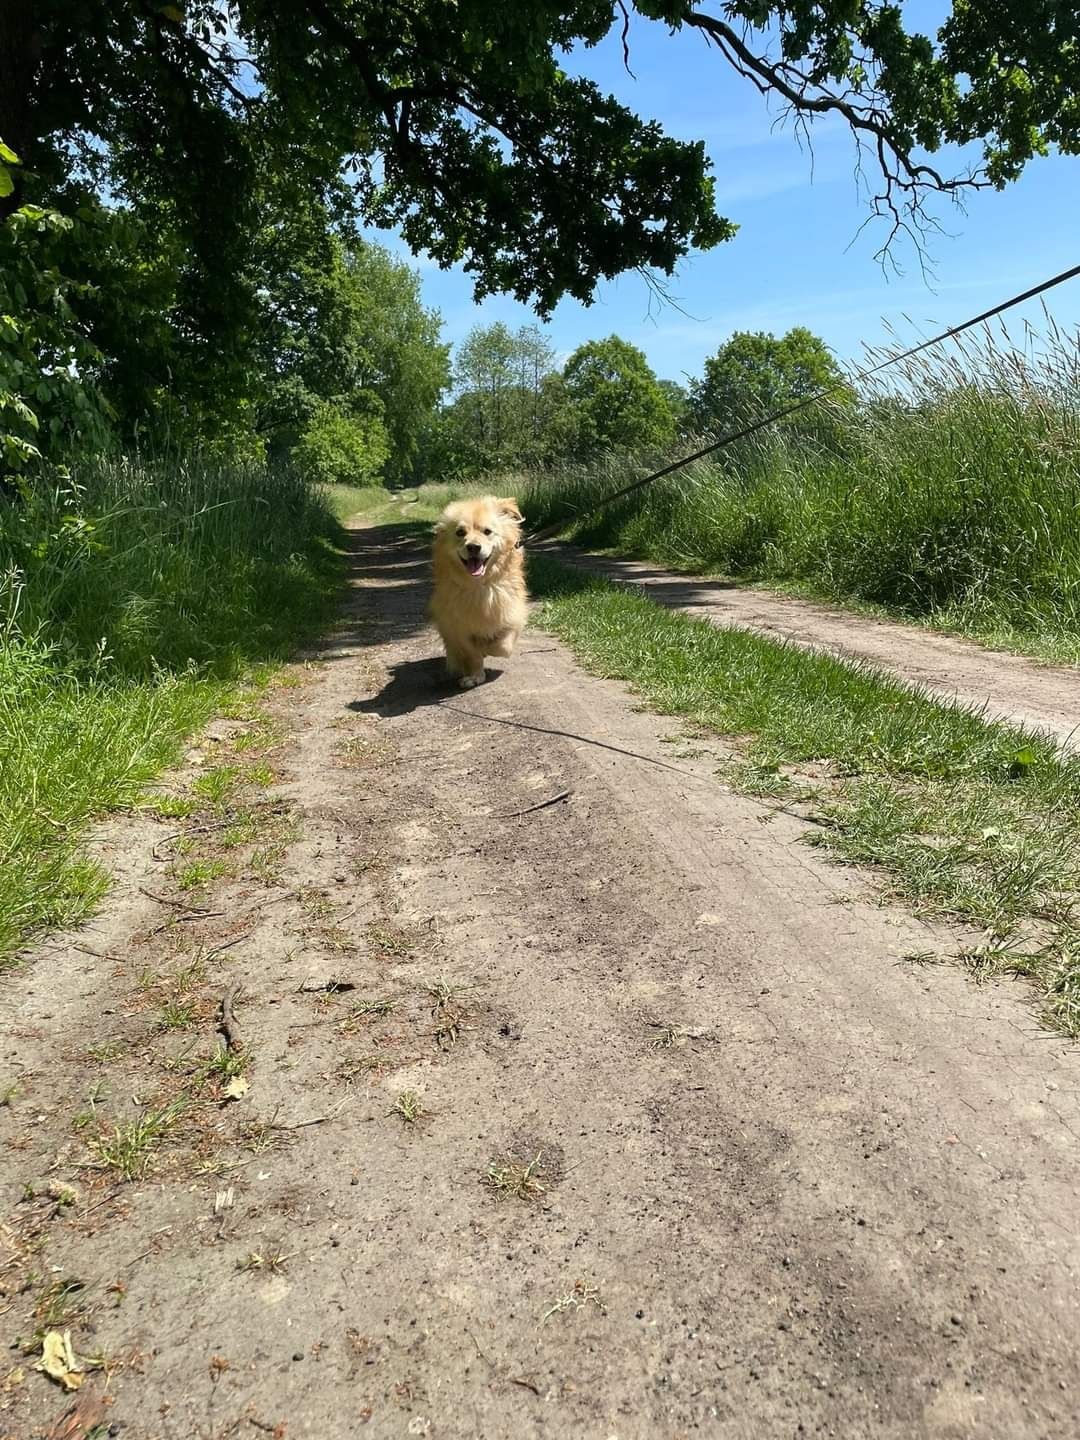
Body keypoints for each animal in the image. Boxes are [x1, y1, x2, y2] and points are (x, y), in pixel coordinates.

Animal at [434, 495, 529, 685]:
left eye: (487, 531)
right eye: (460, 533)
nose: (473, 547)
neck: (480, 585)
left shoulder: (513, 618)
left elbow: (502, 647)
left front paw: (488, 647)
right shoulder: (459, 629)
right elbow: (473, 654)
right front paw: (475, 676)